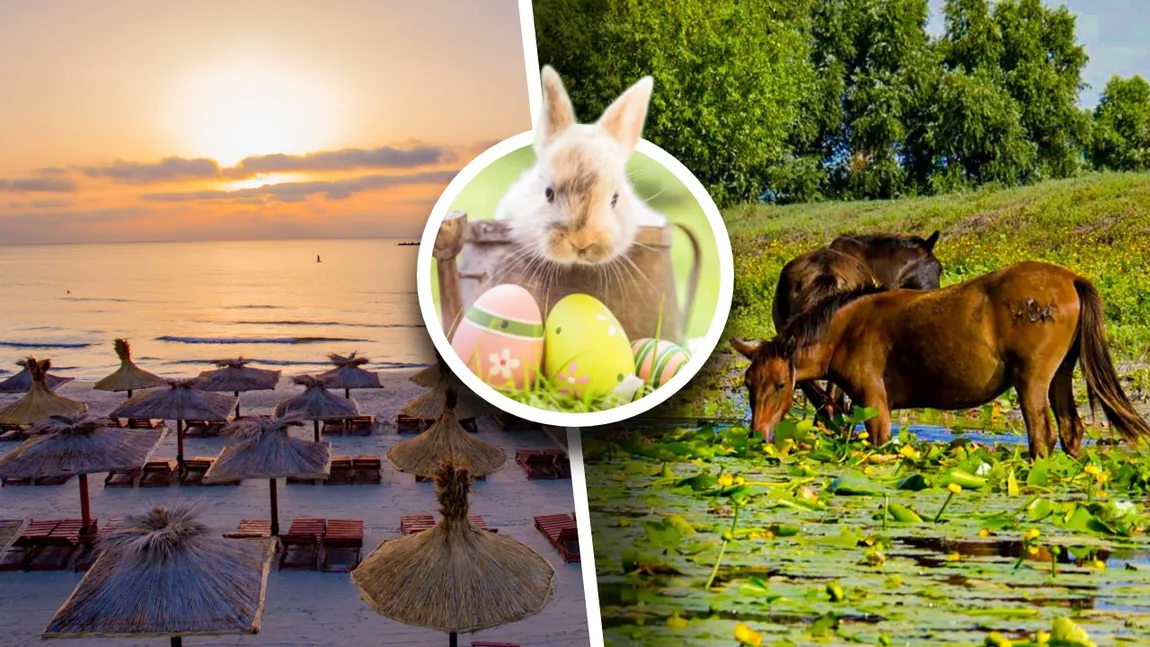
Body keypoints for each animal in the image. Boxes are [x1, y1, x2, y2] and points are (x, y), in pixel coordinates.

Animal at [733, 261, 1150, 458]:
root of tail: (1070, 280)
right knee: (1069, 430)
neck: (847, 329)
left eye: (781, 385)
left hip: (1032, 380)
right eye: (748, 384)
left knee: (1041, 436)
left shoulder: (873, 403)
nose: (758, 435)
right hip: (1061, 375)